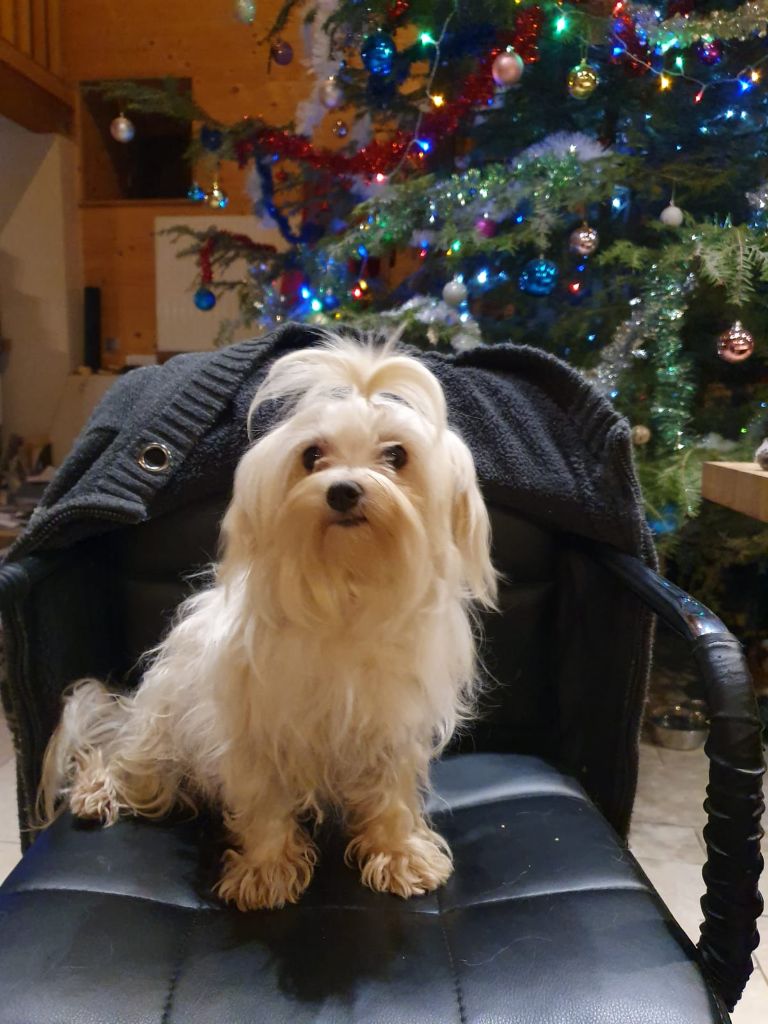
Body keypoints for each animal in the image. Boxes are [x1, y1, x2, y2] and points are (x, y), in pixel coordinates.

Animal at [40, 336, 497, 910]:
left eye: (397, 455)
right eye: (312, 455)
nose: (343, 490)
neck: (346, 587)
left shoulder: (392, 725)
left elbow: (391, 795)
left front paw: (399, 855)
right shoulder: (257, 728)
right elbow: (264, 804)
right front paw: (264, 871)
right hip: (159, 743)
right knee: (118, 760)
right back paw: (96, 791)